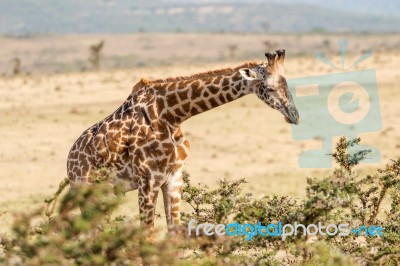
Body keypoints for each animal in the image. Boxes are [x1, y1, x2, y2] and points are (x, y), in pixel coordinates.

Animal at [66, 50, 296, 237]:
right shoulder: (148, 181)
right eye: (269, 88)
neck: (171, 115)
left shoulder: (174, 177)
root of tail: (69, 161)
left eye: (287, 84)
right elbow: (147, 236)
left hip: (111, 194)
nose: (294, 115)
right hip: (86, 193)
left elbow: (174, 234)